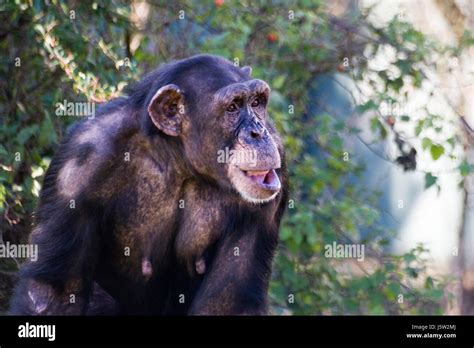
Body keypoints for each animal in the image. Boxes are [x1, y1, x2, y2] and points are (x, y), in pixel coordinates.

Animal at [9, 54, 286, 316]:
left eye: (257, 103)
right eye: (232, 107)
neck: (179, 158)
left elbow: (226, 300)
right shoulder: (79, 163)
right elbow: (55, 293)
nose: (259, 133)